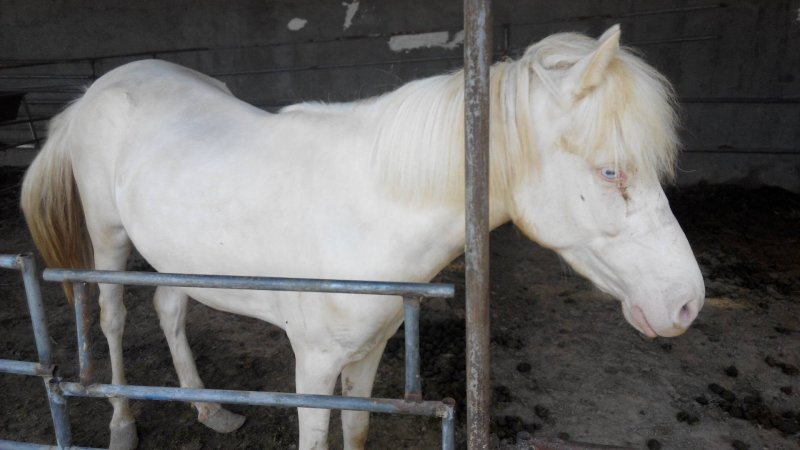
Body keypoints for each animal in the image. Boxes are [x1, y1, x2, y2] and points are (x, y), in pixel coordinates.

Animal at [21, 25, 704, 450]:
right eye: (611, 171)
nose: (688, 304)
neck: (367, 215)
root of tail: (98, 88)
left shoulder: (371, 351)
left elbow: (357, 430)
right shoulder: (314, 365)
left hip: (178, 260)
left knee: (169, 308)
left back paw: (211, 410)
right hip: (107, 240)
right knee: (111, 317)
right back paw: (121, 425)